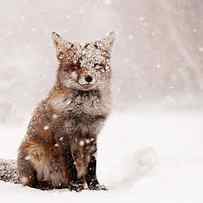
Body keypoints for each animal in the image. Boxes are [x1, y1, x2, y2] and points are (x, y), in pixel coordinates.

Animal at [0, 31, 114, 190]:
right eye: (76, 65)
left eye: (96, 65)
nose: (88, 78)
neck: (84, 110)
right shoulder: (63, 135)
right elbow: (70, 165)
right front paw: (76, 186)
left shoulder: (91, 134)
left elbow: (92, 166)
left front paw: (95, 187)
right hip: (35, 153)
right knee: (30, 183)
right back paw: (47, 186)